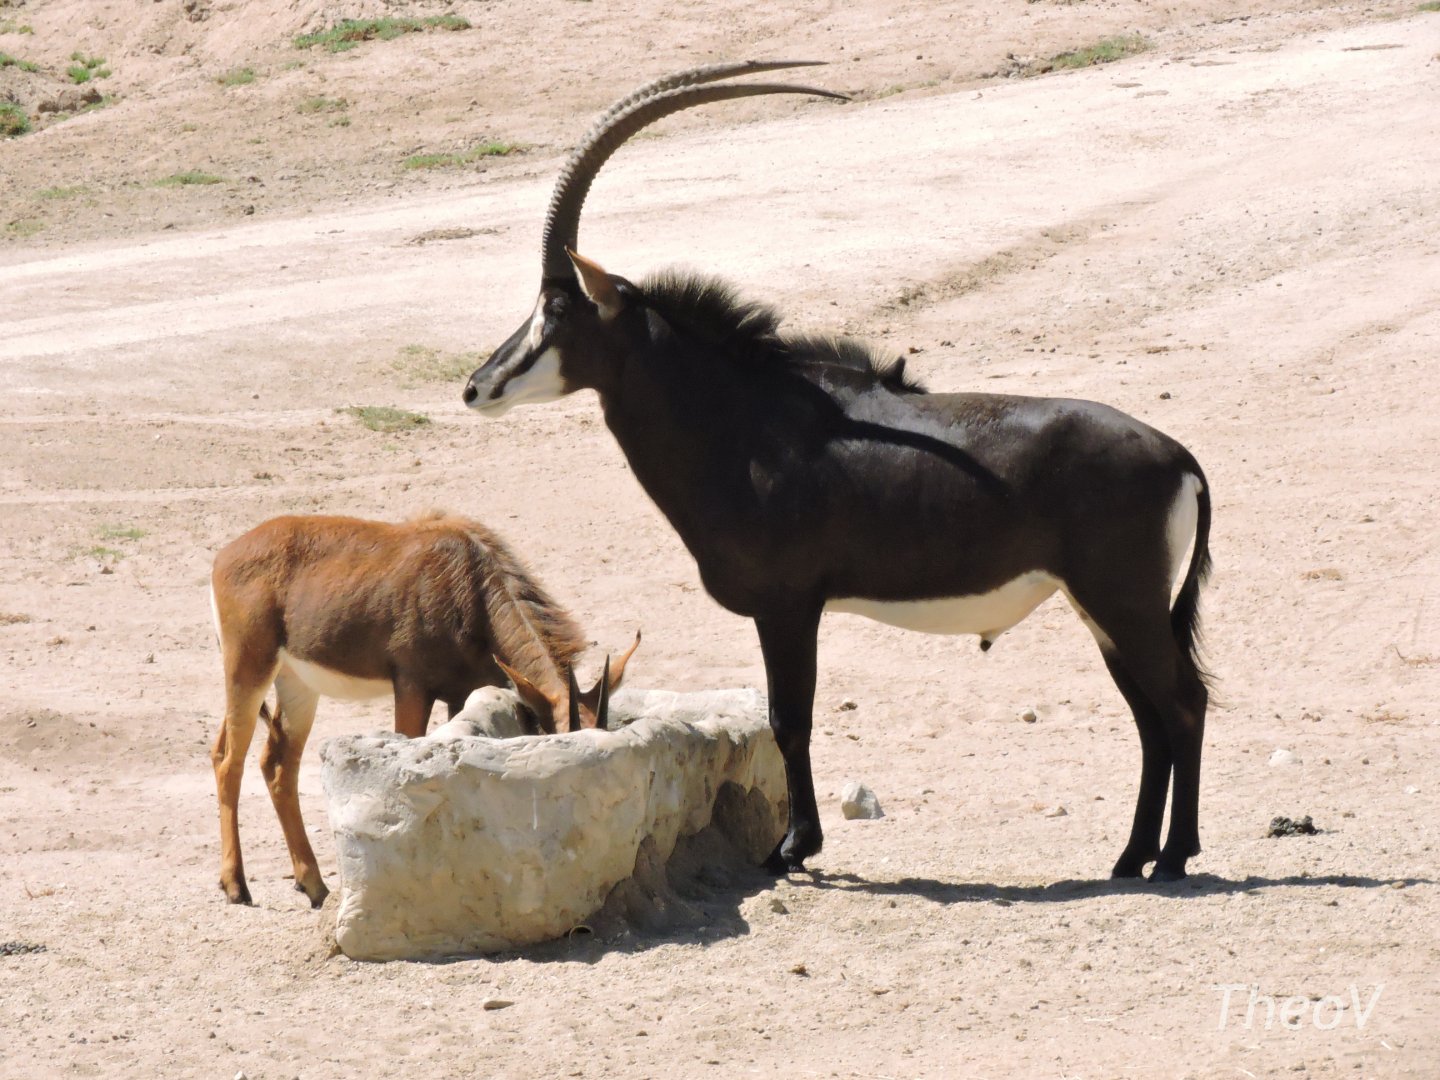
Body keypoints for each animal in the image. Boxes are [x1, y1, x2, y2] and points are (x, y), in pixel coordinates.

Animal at [209, 511, 640, 906]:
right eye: (562, 736)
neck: (470, 579)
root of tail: (224, 557)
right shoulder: (412, 686)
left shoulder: (460, 695)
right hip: (248, 669)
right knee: (230, 761)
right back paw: (237, 886)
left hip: (297, 685)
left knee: (276, 765)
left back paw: (314, 885)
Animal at [462, 62, 1214, 882]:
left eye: (558, 308)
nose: (477, 386)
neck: (744, 421)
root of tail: (1181, 458)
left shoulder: (789, 606)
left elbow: (789, 719)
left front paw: (792, 847)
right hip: (1102, 610)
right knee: (1150, 717)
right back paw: (1131, 857)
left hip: (1123, 603)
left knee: (1182, 706)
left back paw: (1174, 857)